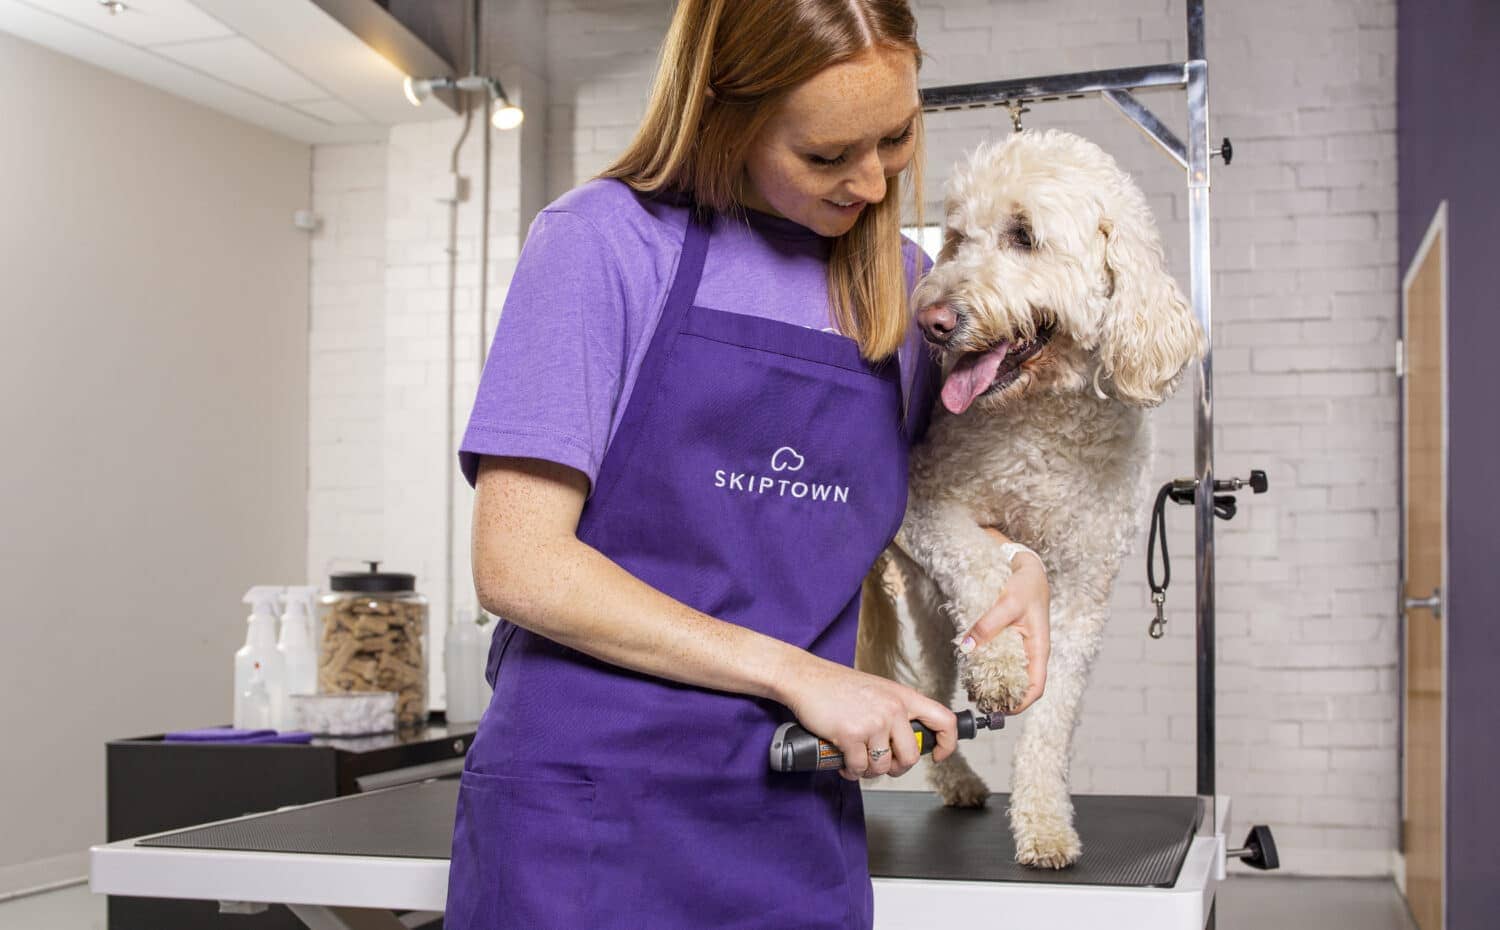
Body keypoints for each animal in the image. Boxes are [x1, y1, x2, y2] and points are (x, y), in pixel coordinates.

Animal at [858, 130, 1206, 870]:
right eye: (957, 238)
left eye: (1023, 236)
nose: (932, 321)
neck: (1041, 418)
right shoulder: (925, 506)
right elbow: (985, 563)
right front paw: (999, 668)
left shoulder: (1082, 595)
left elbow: (1053, 722)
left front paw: (1045, 823)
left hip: (934, 623)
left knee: (930, 698)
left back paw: (959, 780)